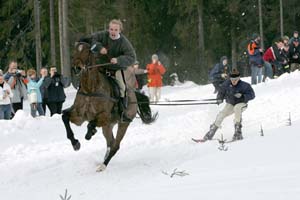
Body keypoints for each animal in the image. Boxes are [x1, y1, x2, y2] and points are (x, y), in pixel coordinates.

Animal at [61, 41, 157, 171]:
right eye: (75, 51)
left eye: (87, 51)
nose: (77, 68)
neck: (90, 89)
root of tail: (134, 97)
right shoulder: (80, 116)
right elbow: (65, 116)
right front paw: (75, 143)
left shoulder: (104, 116)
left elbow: (92, 123)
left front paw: (90, 133)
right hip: (108, 126)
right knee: (111, 143)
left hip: (122, 124)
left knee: (115, 145)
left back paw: (103, 165)